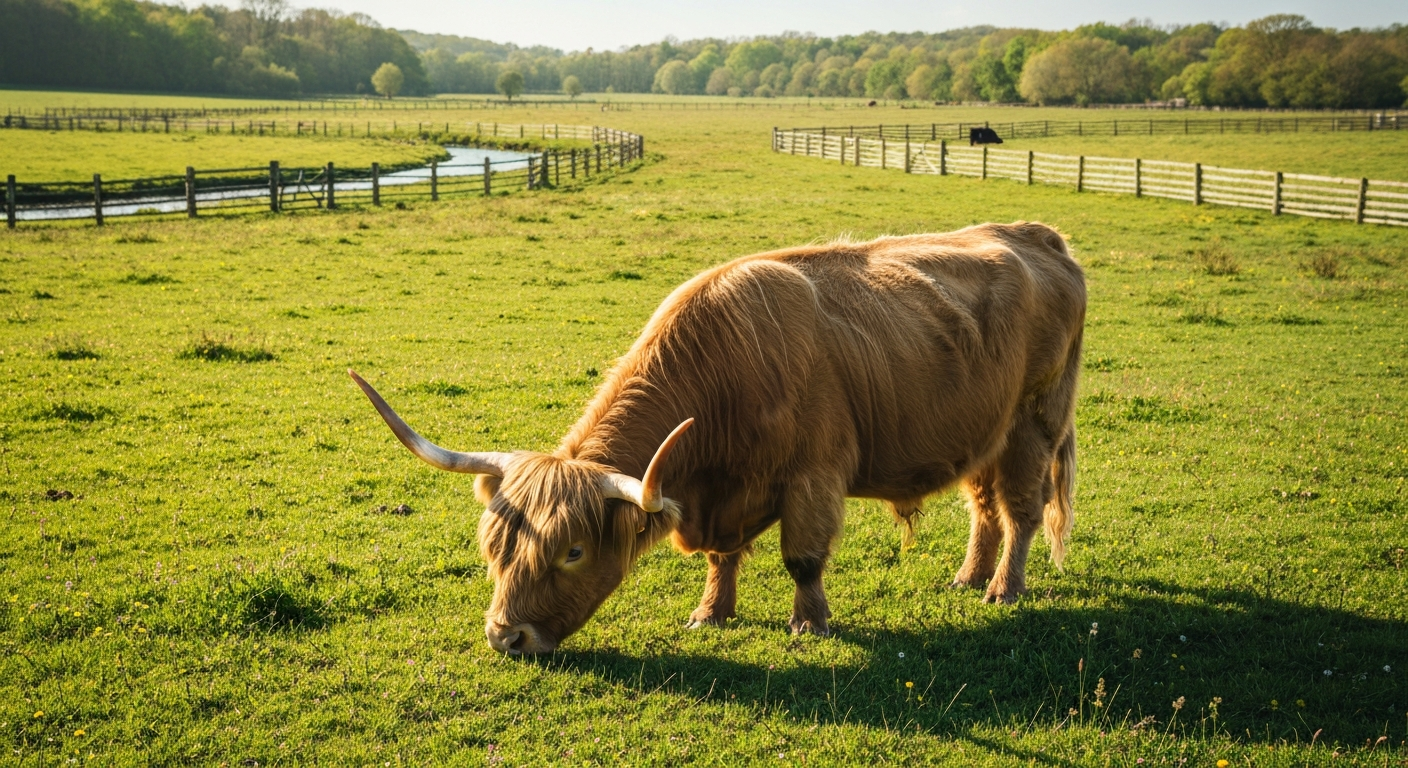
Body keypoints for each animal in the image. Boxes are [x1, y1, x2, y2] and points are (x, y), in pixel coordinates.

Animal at [351, 222, 1086, 654]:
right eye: (494, 547)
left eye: (573, 552)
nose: (507, 637)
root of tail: (1037, 235)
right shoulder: (725, 495)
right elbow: (721, 555)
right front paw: (712, 612)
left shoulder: (814, 476)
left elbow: (803, 558)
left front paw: (809, 623)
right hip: (983, 431)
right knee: (983, 508)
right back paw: (968, 577)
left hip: (1034, 422)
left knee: (1021, 512)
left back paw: (1003, 590)